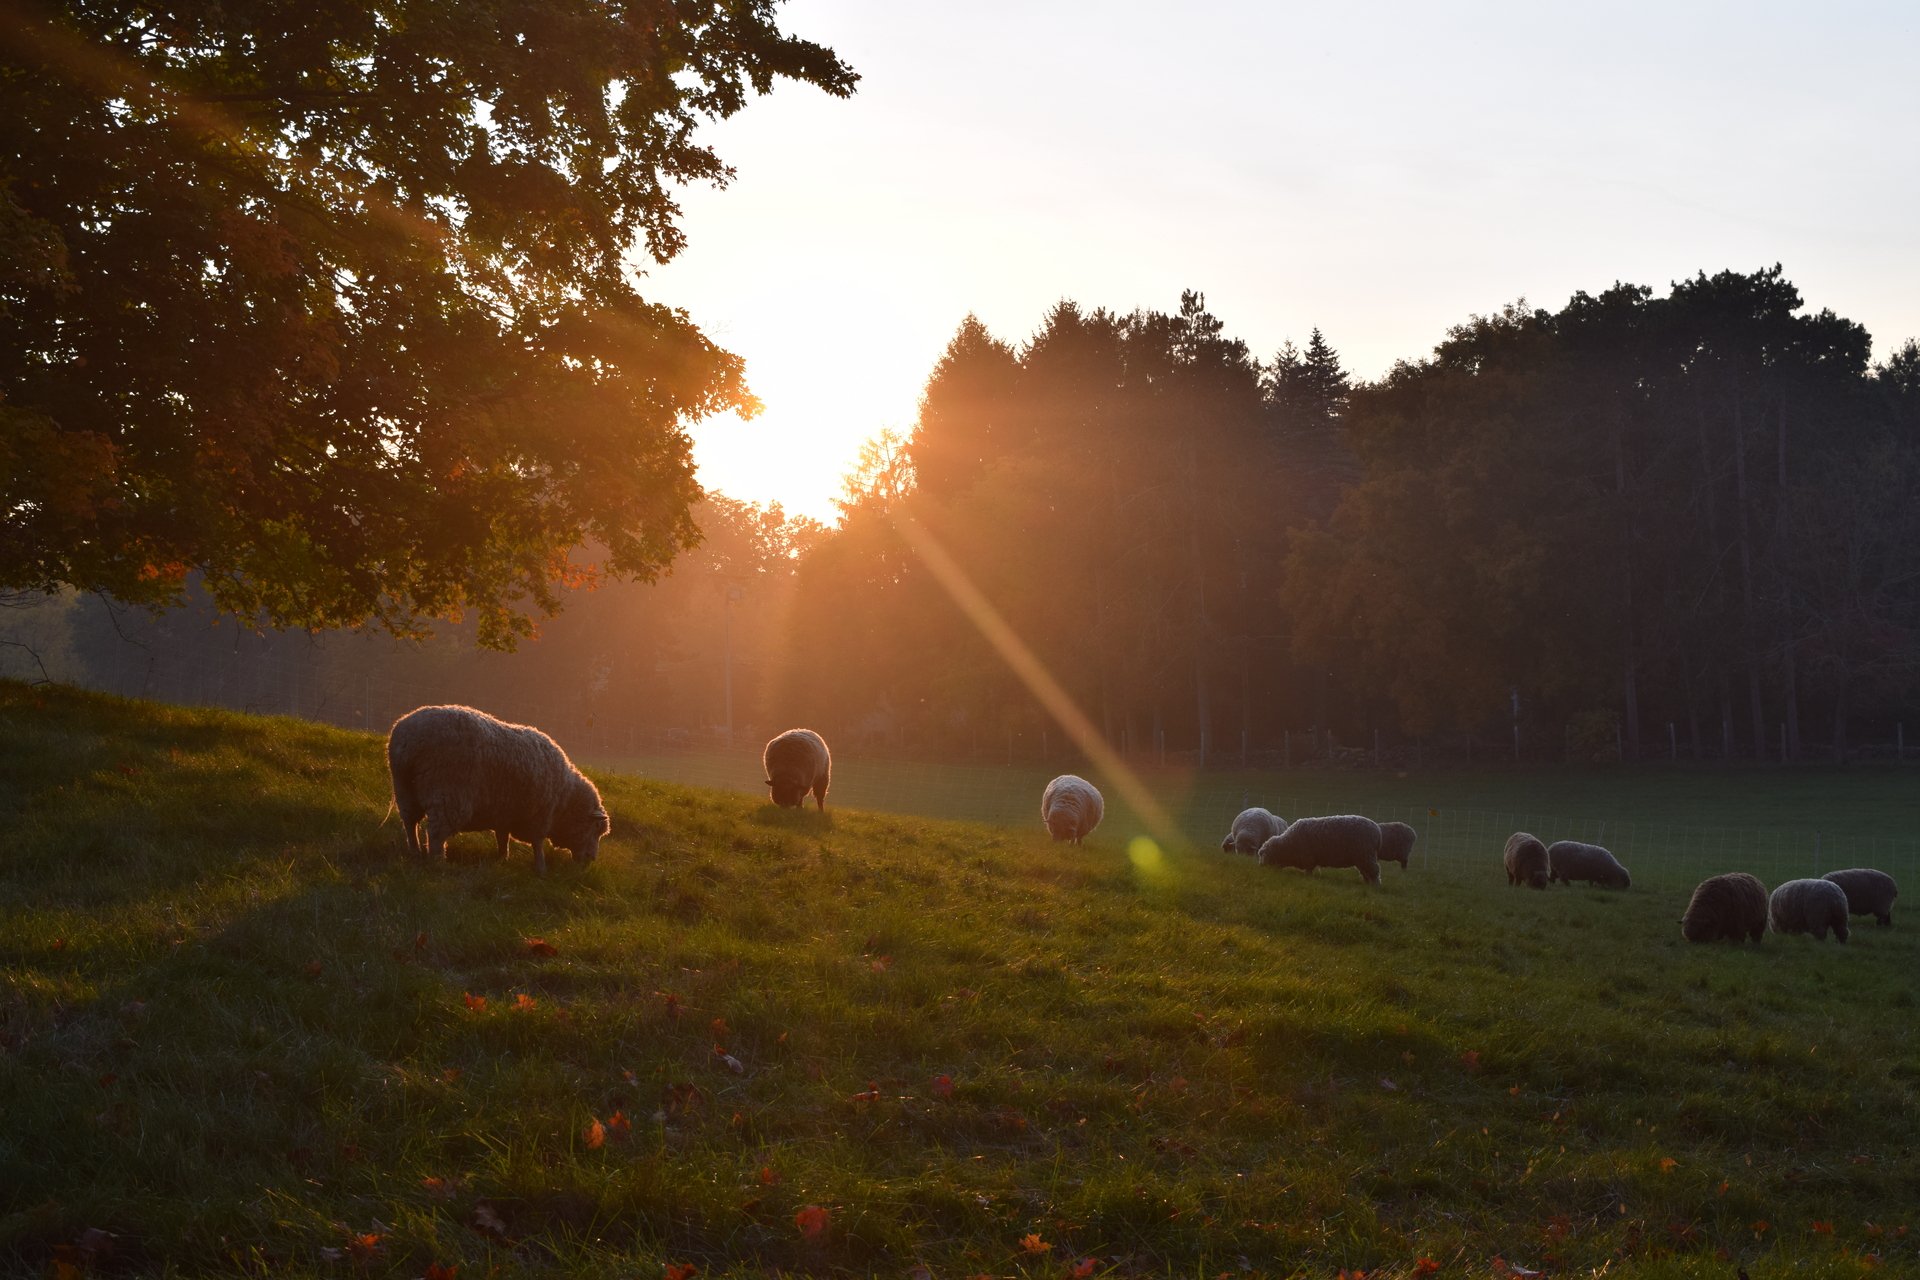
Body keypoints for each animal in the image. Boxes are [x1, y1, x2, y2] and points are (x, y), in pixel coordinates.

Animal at [384, 706, 606, 875]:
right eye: (595, 829)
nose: (591, 859)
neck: (566, 798)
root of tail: (407, 739)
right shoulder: (539, 816)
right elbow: (537, 844)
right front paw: (541, 869)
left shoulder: (505, 813)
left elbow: (502, 838)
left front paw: (502, 858)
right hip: (448, 794)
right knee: (436, 833)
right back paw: (438, 861)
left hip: (405, 789)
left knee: (409, 823)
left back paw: (414, 851)